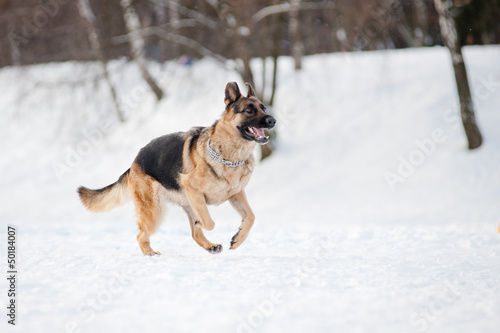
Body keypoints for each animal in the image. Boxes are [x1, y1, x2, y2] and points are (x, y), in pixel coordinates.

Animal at [77, 82, 278, 254]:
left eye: (263, 108)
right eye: (249, 110)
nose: (272, 121)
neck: (229, 157)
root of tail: (134, 162)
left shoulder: (236, 194)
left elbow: (251, 217)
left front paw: (238, 238)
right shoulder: (193, 190)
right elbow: (209, 222)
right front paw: (208, 225)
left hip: (181, 205)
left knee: (194, 233)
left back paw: (210, 246)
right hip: (155, 212)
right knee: (141, 235)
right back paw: (150, 254)